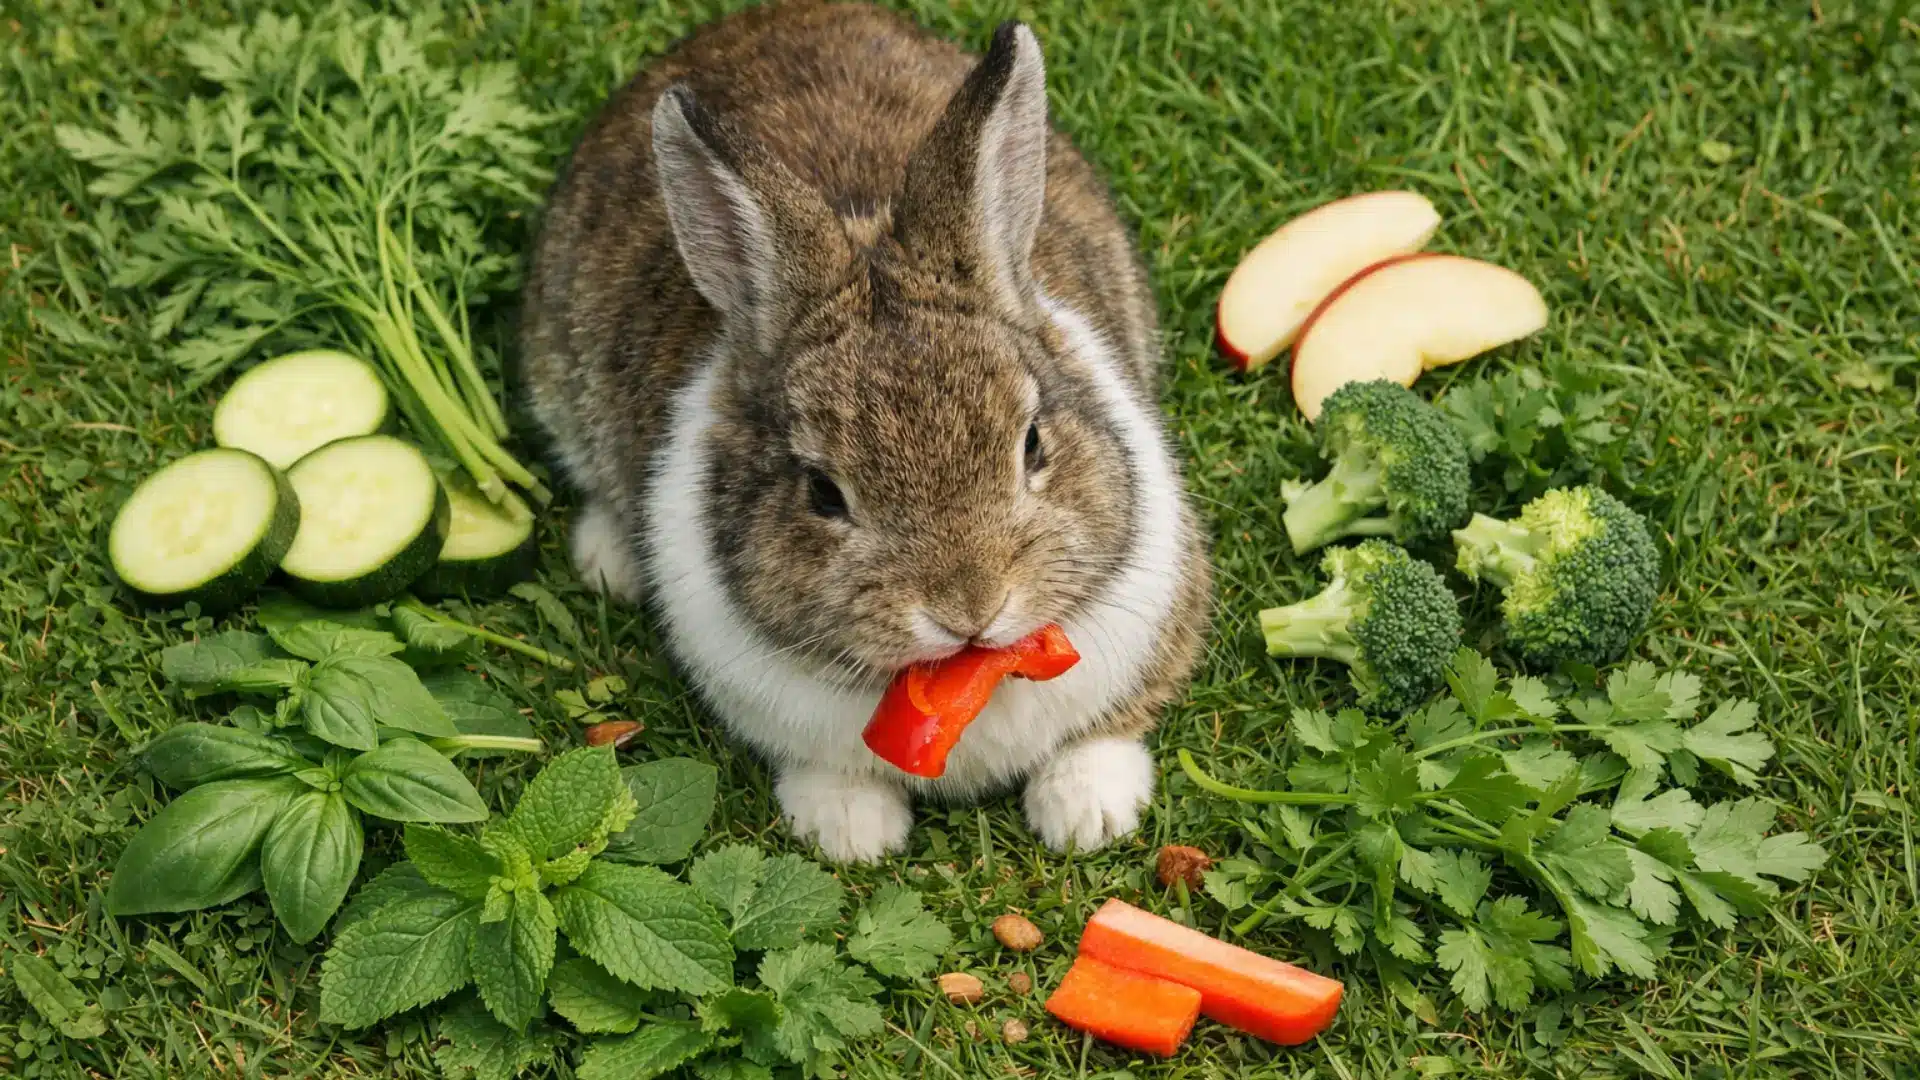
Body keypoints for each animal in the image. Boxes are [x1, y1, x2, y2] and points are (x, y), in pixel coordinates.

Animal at [520, 1, 1212, 863]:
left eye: (1033, 445)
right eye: (823, 492)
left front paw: (1088, 814)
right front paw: (852, 833)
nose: (970, 609)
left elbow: (1108, 730)